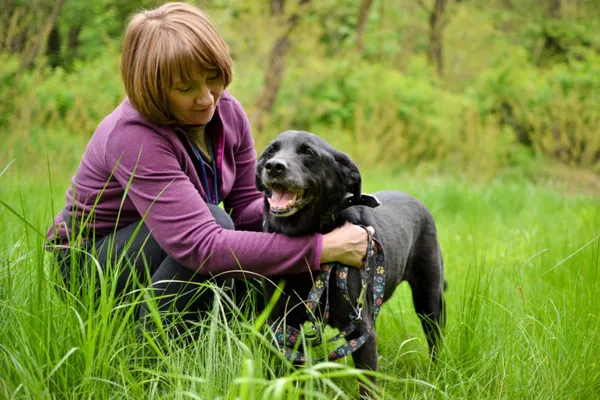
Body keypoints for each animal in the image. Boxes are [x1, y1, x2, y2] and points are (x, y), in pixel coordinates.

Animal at [254, 130, 446, 396]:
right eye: (271, 151)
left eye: (308, 152)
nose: (274, 166)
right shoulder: (285, 326)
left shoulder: (360, 329)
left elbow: (367, 386)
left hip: (429, 300)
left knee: (435, 339)